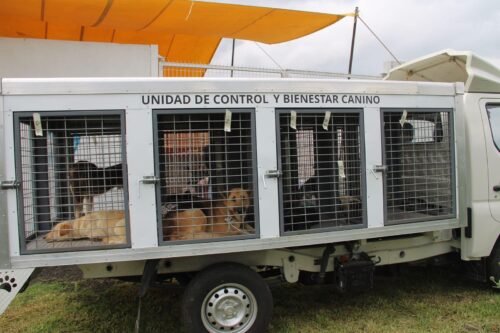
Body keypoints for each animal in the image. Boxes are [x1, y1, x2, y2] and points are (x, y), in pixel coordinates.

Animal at [156, 111, 256, 241]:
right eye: (233, 199)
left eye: (244, 198)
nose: (240, 210)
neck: (228, 210)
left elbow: (249, 227)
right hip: (198, 212)